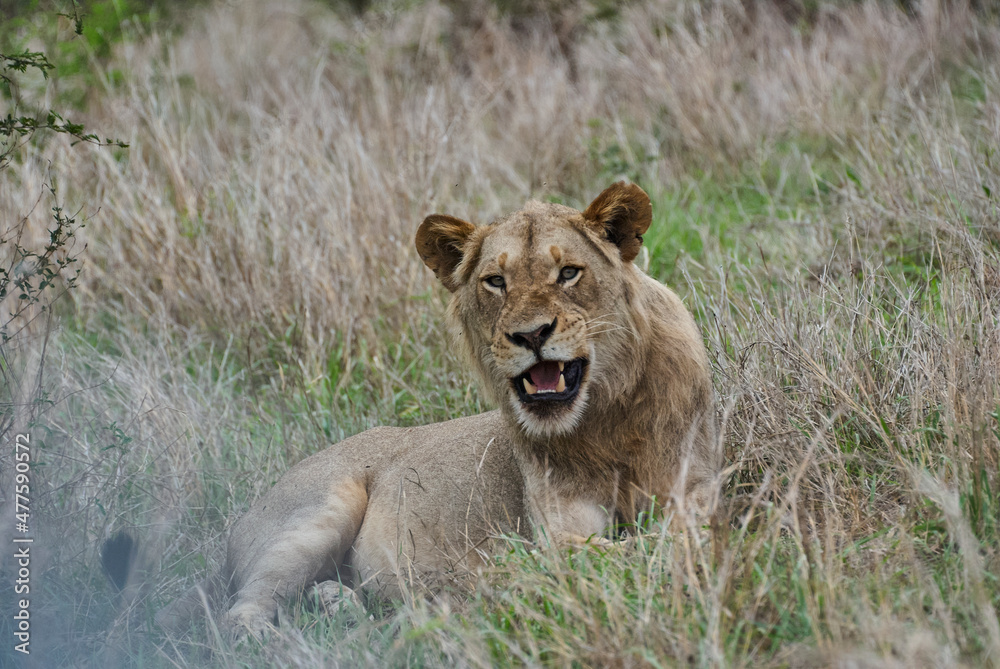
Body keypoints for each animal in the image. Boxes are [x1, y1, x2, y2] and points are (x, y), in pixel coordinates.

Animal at [153, 181, 719, 640]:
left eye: (569, 273)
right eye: (495, 281)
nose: (531, 335)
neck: (604, 422)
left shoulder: (693, 488)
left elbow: (678, 534)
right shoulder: (555, 534)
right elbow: (626, 551)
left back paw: (346, 608)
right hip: (323, 507)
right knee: (239, 614)